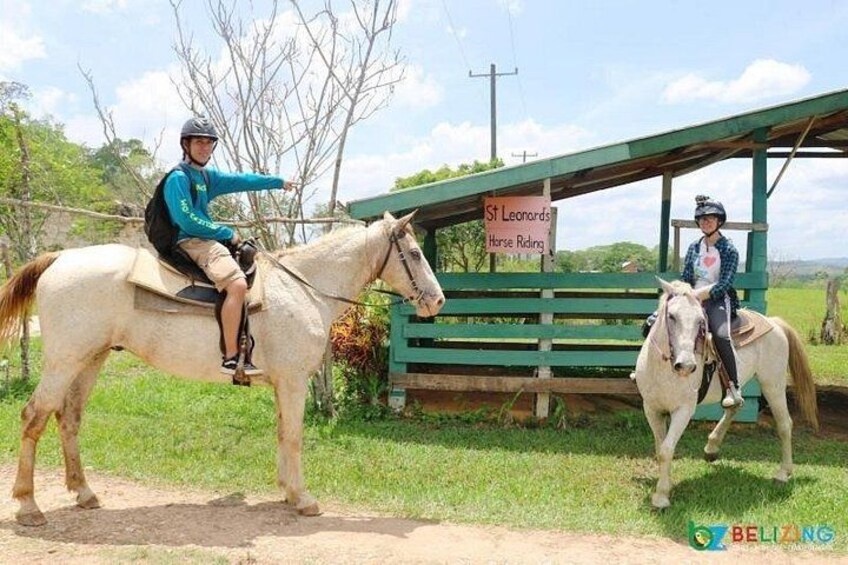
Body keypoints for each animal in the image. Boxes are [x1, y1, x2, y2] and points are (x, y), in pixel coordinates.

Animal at [0, 211, 445, 526]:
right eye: (415, 254)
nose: (438, 300)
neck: (302, 287)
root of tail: (60, 258)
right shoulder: (294, 382)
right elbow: (294, 437)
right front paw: (303, 499)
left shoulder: (282, 384)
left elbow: (282, 434)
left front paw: (287, 491)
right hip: (64, 362)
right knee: (33, 417)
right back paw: (29, 506)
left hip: (90, 359)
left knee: (69, 417)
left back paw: (85, 493)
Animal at [633, 278, 818, 509]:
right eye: (672, 316)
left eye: (701, 321)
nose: (686, 366)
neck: (663, 370)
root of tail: (773, 323)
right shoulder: (651, 408)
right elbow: (660, 448)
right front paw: (665, 486)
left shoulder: (683, 410)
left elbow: (667, 449)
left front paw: (661, 497)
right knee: (735, 405)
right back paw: (711, 448)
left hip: (772, 384)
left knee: (785, 424)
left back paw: (783, 473)